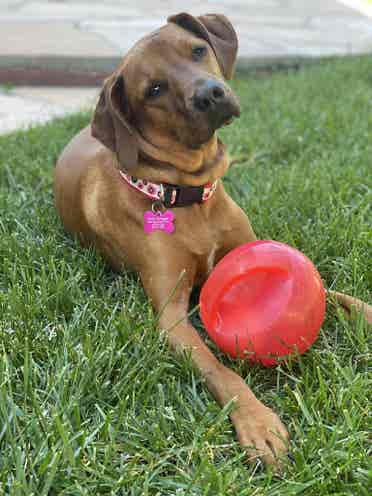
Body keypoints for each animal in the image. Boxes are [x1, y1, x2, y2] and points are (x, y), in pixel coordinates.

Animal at [53, 12, 372, 468]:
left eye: (198, 50)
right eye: (154, 89)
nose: (211, 94)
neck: (188, 197)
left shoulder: (247, 250)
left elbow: (334, 293)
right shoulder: (171, 317)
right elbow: (220, 370)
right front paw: (258, 422)